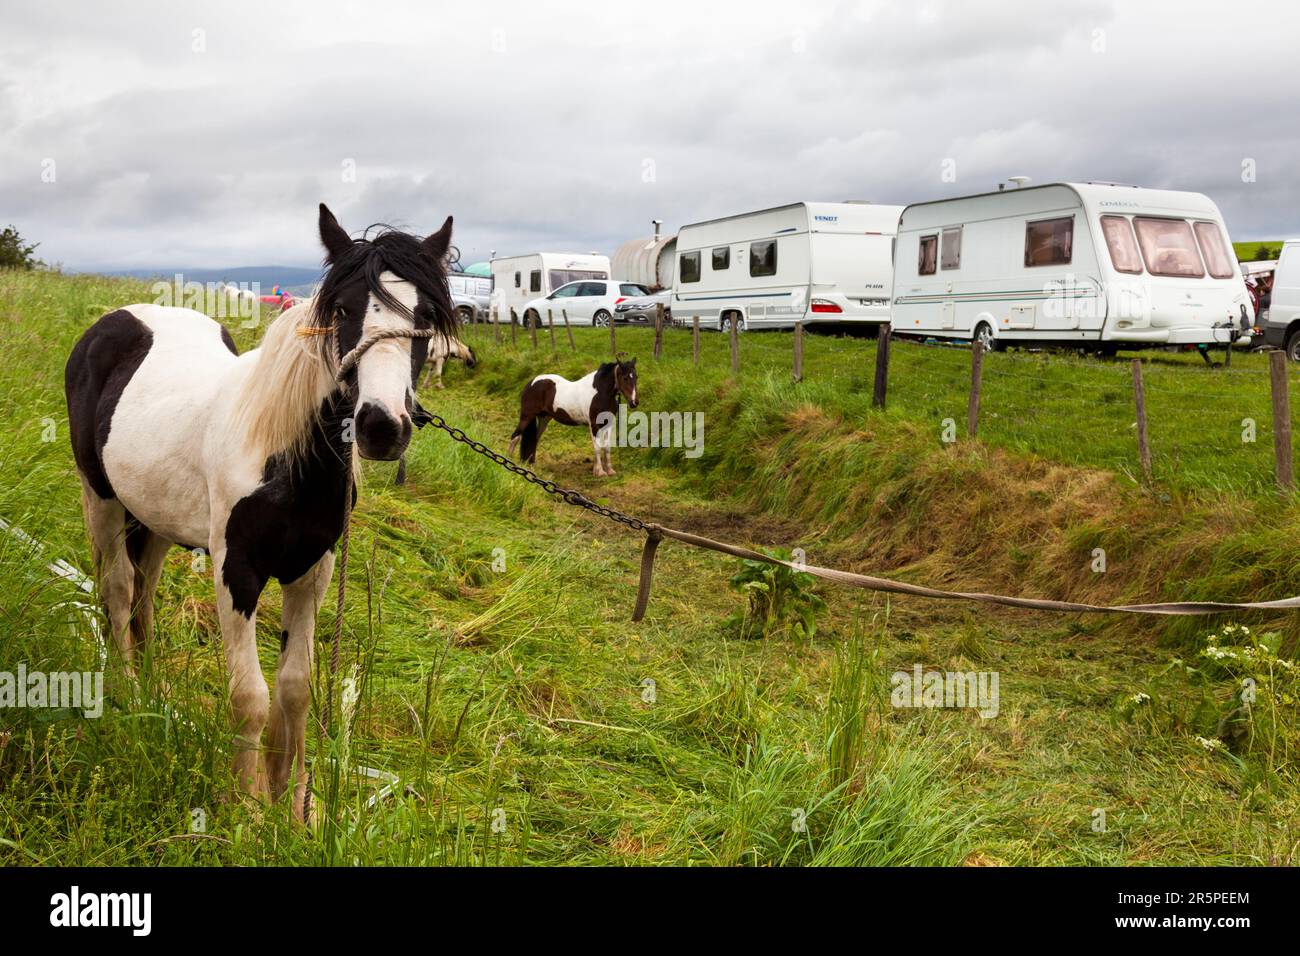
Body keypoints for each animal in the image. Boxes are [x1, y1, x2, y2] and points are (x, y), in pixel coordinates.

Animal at [64, 205, 457, 816]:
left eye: (427, 315)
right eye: (341, 309)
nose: (381, 426)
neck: (284, 457)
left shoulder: (312, 572)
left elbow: (295, 690)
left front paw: (291, 806)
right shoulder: (238, 571)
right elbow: (250, 694)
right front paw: (247, 810)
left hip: (152, 517)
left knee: (145, 590)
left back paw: (152, 689)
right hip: (101, 497)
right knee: (119, 590)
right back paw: (126, 692)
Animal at [504, 356, 637, 476]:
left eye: (636, 377)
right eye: (625, 378)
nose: (634, 402)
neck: (600, 392)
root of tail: (531, 383)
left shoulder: (609, 424)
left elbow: (607, 446)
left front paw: (609, 470)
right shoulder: (594, 424)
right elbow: (598, 447)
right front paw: (599, 472)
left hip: (544, 418)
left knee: (534, 439)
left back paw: (531, 465)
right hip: (527, 416)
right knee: (515, 437)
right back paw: (509, 464)